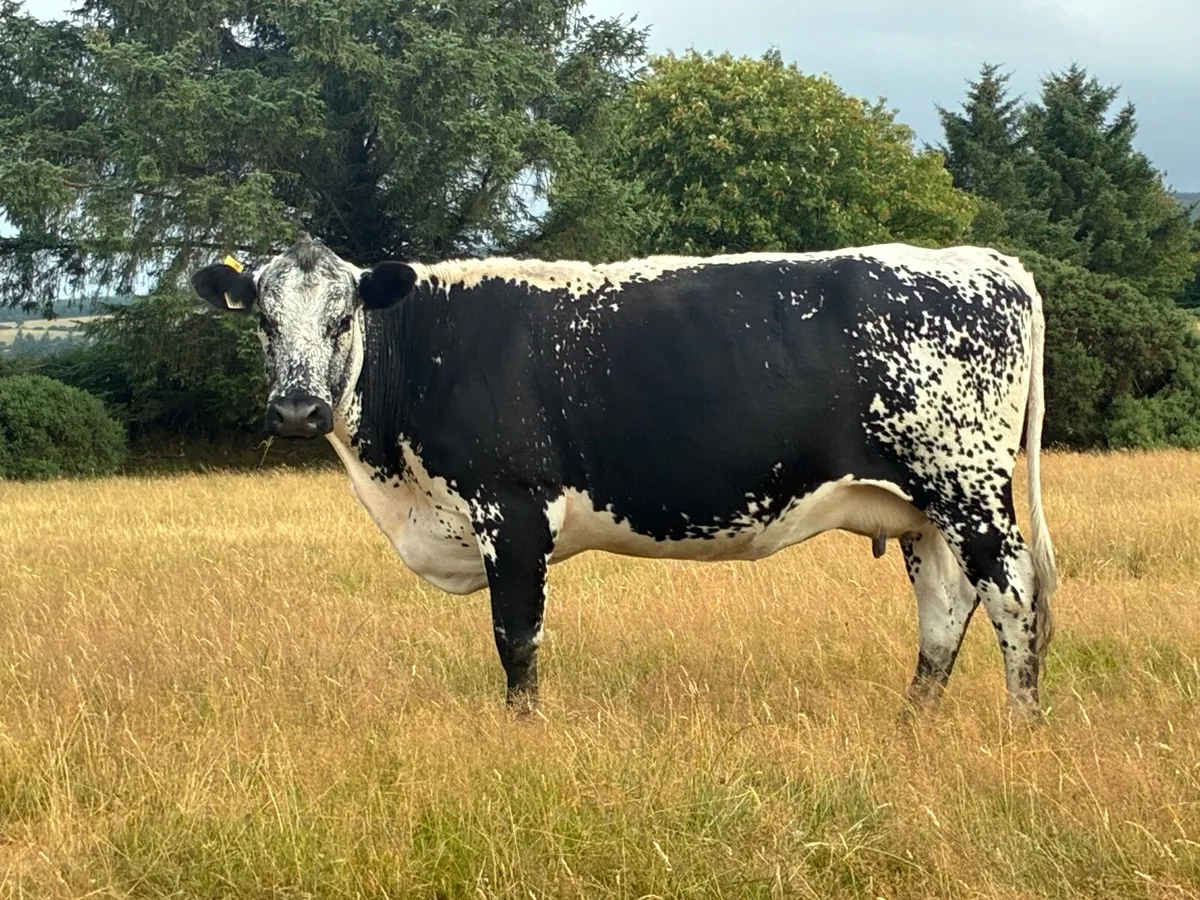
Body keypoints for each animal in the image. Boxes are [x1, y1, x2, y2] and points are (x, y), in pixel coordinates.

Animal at [191, 238, 1058, 719]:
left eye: (343, 320)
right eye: (263, 321)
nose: (297, 409)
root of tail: (981, 260)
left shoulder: (511, 511)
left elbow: (517, 640)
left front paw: (523, 734)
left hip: (969, 491)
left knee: (1014, 600)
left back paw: (1021, 726)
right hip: (920, 512)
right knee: (943, 612)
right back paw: (912, 726)